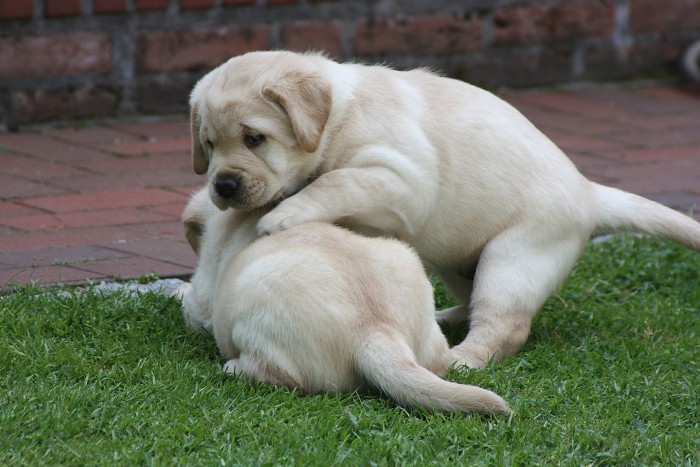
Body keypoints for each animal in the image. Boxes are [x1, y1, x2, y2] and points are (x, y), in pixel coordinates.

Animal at [178, 187, 508, 415]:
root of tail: (377, 330)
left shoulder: (204, 292)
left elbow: (191, 302)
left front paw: (176, 289)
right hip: (406, 264)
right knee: (439, 363)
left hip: (257, 306)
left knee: (283, 378)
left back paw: (233, 367)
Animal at [189, 50, 700, 369]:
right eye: (208, 145)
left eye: (255, 137)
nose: (224, 185)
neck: (339, 118)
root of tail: (588, 192)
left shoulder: (402, 179)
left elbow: (337, 180)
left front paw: (283, 214)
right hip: (456, 260)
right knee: (471, 301)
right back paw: (445, 319)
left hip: (514, 256)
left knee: (504, 324)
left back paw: (462, 360)